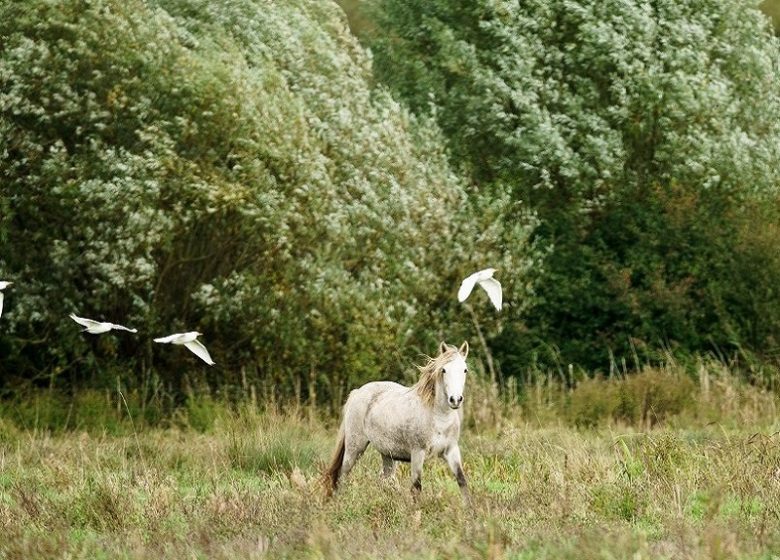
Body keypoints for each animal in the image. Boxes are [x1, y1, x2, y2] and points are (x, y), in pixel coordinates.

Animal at [324, 342, 470, 498]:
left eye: (465, 370)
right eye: (444, 370)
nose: (455, 400)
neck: (439, 418)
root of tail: (357, 392)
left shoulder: (452, 451)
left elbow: (462, 481)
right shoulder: (418, 452)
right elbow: (416, 487)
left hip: (387, 454)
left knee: (385, 480)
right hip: (355, 448)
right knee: (342, 476)